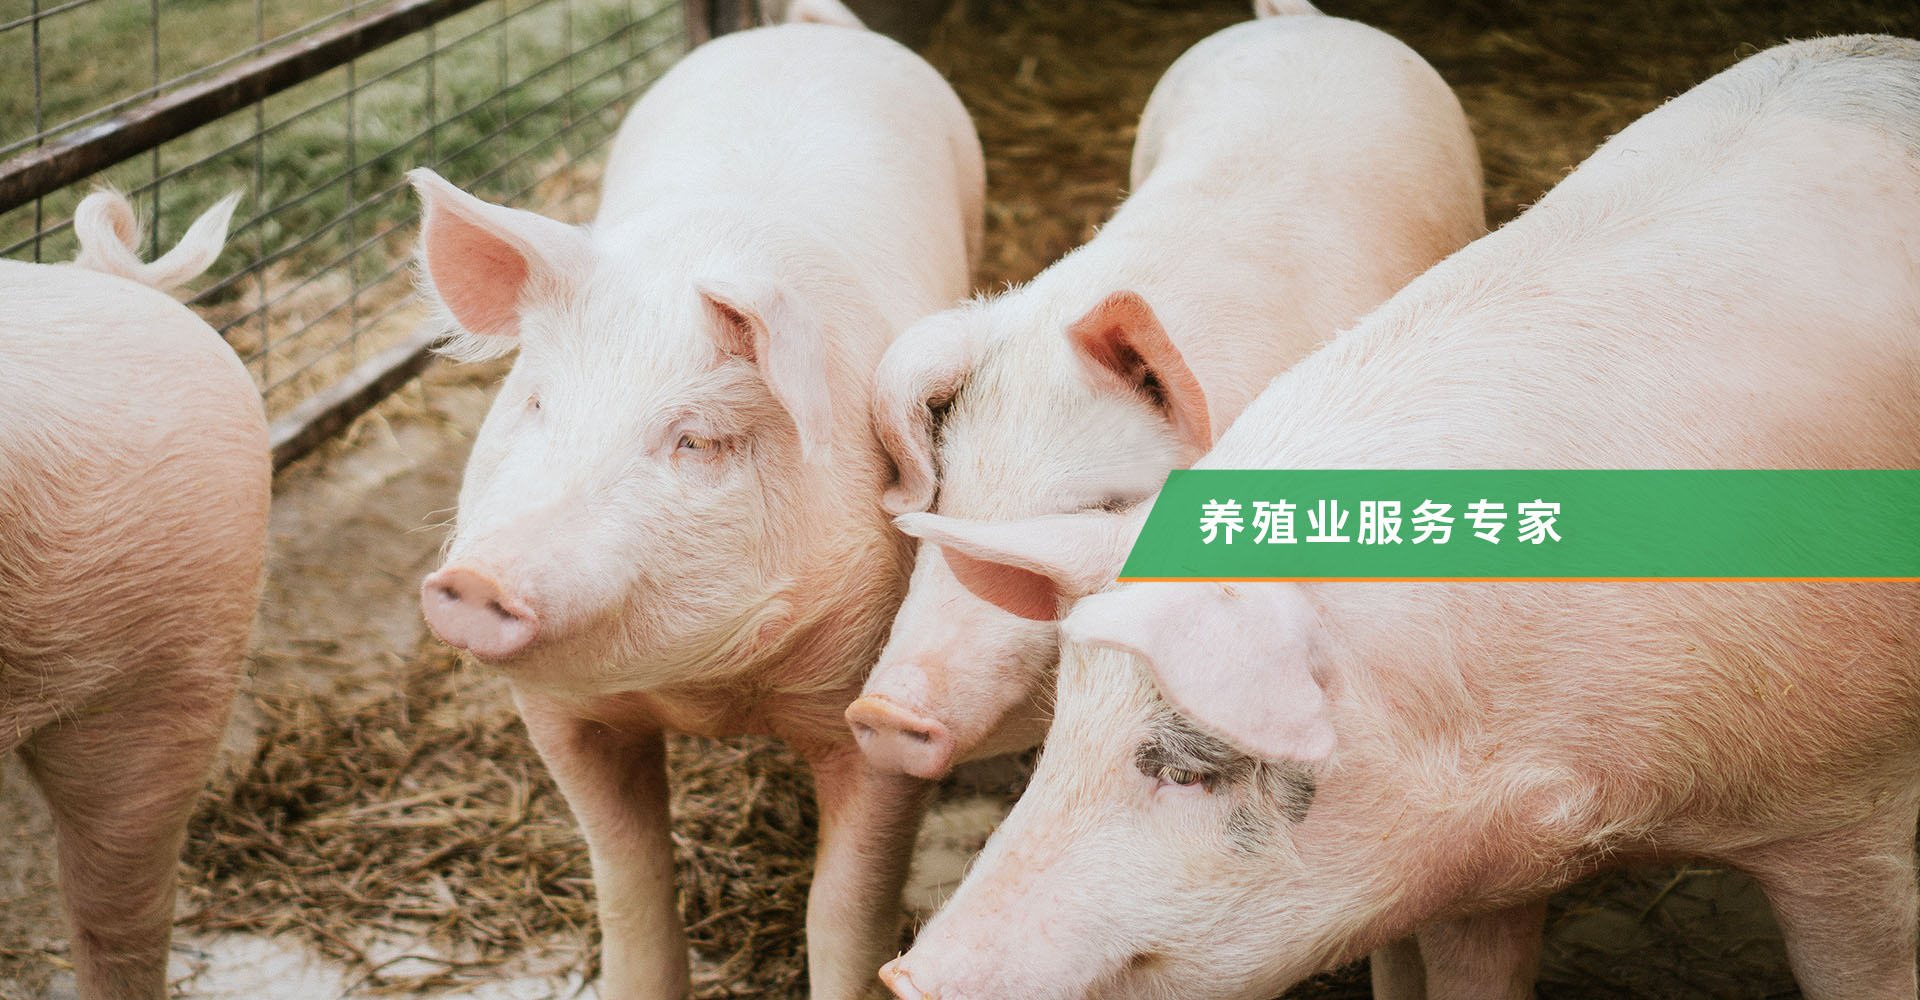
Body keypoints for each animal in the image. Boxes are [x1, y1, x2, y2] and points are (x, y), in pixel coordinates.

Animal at [412, 9, 983, 998]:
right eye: (535, 403)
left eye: (697, 440)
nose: (479, 581)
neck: (705, 692)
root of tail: (801, 27)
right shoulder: (556, 712)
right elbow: (626, 876)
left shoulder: (876, 715)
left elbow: (846, 910)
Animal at [890, 35, 1920, 998]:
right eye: (1063, 729)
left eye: (1189, 769)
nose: (906, 976)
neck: (1600, 798)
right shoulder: (1472, 864)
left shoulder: (1853, 811)